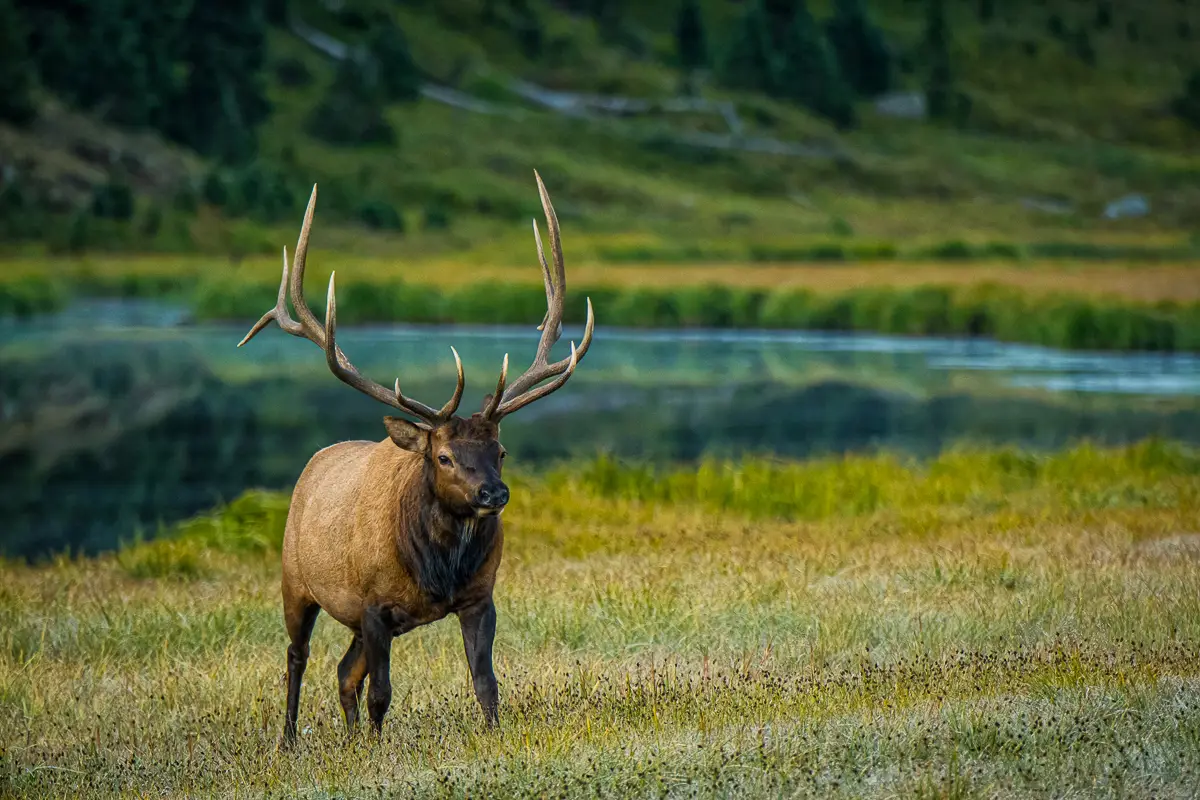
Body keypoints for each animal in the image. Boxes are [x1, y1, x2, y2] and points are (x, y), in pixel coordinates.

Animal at [236, 171, 594, 745]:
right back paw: (289, 740)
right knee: (298, 656)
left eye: (500, 450)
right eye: (444, 456)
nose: (494, 492)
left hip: (353, 619)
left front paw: (493, 736)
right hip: (296, 579)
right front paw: (378, 750)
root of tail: (314, 464)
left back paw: (348, 738)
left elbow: (486, 682)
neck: (437, 570)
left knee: (343, 671)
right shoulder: (374, 603)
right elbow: (382, 693)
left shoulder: (478, 597)